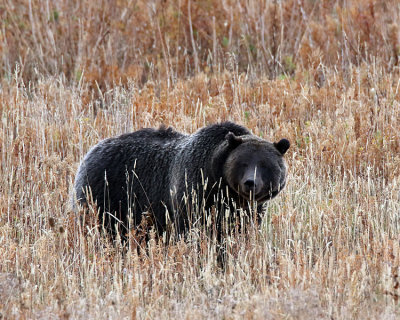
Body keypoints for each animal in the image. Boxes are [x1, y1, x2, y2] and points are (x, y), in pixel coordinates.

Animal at [72, 121, 290, 239]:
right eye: (243, 163)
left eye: (264, 165)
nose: (250, 183)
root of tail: (91, 151)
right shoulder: (194, 191)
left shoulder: (248, 210)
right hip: (105, 193)